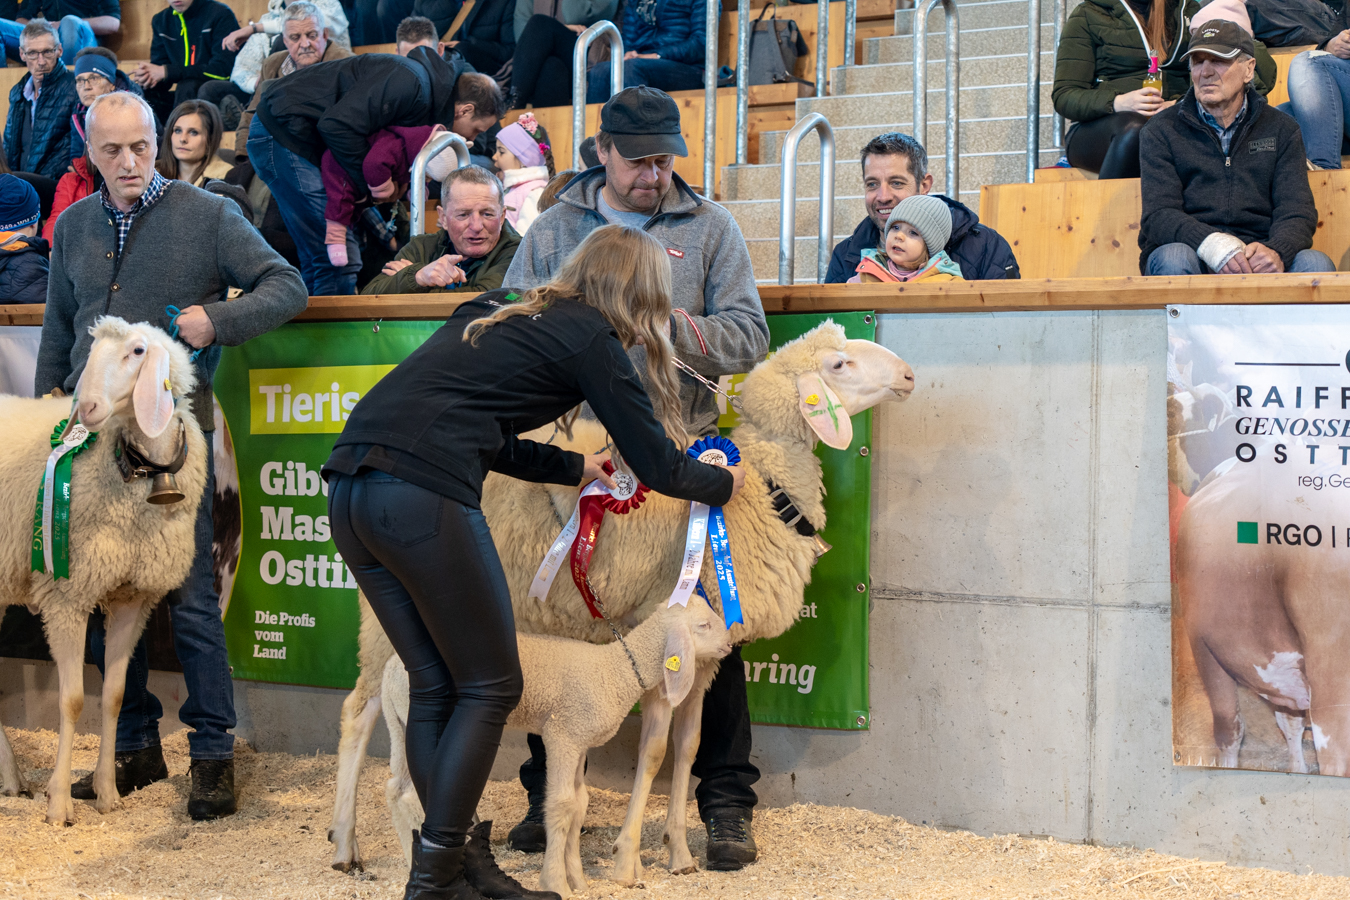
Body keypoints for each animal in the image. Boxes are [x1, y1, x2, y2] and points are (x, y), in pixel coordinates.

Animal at [0, 317, 208, 826]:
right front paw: (58, 803)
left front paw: (108, 792)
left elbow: (114, 695)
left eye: (137, 351)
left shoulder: (134, 597)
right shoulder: (66, 595)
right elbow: (73, 699)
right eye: (91, 353)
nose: (88, 408)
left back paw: (12, 778)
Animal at [382, 598, 733, 897]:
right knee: (415, 790)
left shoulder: (579, 741)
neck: (615, 671)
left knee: (398, 789)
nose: (730, 644)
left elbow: (579, 803)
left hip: (402, 721)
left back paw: (410, 861)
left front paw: (578, 881)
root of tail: (390, 671)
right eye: (703, 625)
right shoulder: (562, 735)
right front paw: (556, 883)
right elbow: (561, 804)